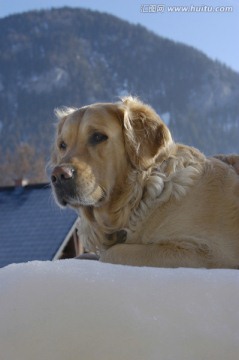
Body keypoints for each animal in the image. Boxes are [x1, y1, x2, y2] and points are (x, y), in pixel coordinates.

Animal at [50, 97, 239, 268]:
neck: (139, 196)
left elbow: (111, 253)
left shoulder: (207, 253)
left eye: (98, 136)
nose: (58, 175)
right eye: (62, 145)